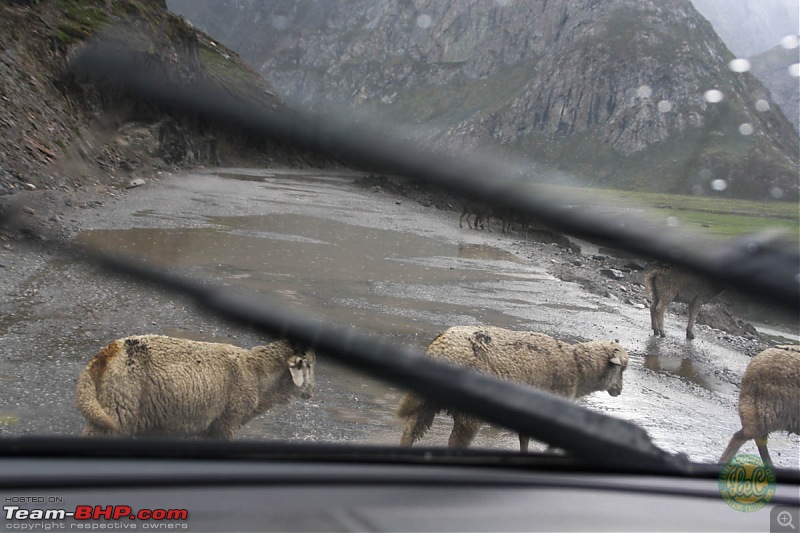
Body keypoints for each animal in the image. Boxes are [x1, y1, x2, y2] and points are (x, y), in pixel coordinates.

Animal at [75, 334, 312, 438]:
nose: (311, 393)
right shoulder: (226, 421)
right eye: (308, 365)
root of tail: (106, 353)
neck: (256, 370)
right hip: (119, 408)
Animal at [396, 324, 628, 448]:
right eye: (622, 369)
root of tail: (440, 348)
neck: (577, 366)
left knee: (410, 432)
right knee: (455, 441)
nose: (619, 391)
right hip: (467, 413)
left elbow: (524, 439)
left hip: (426, 401)